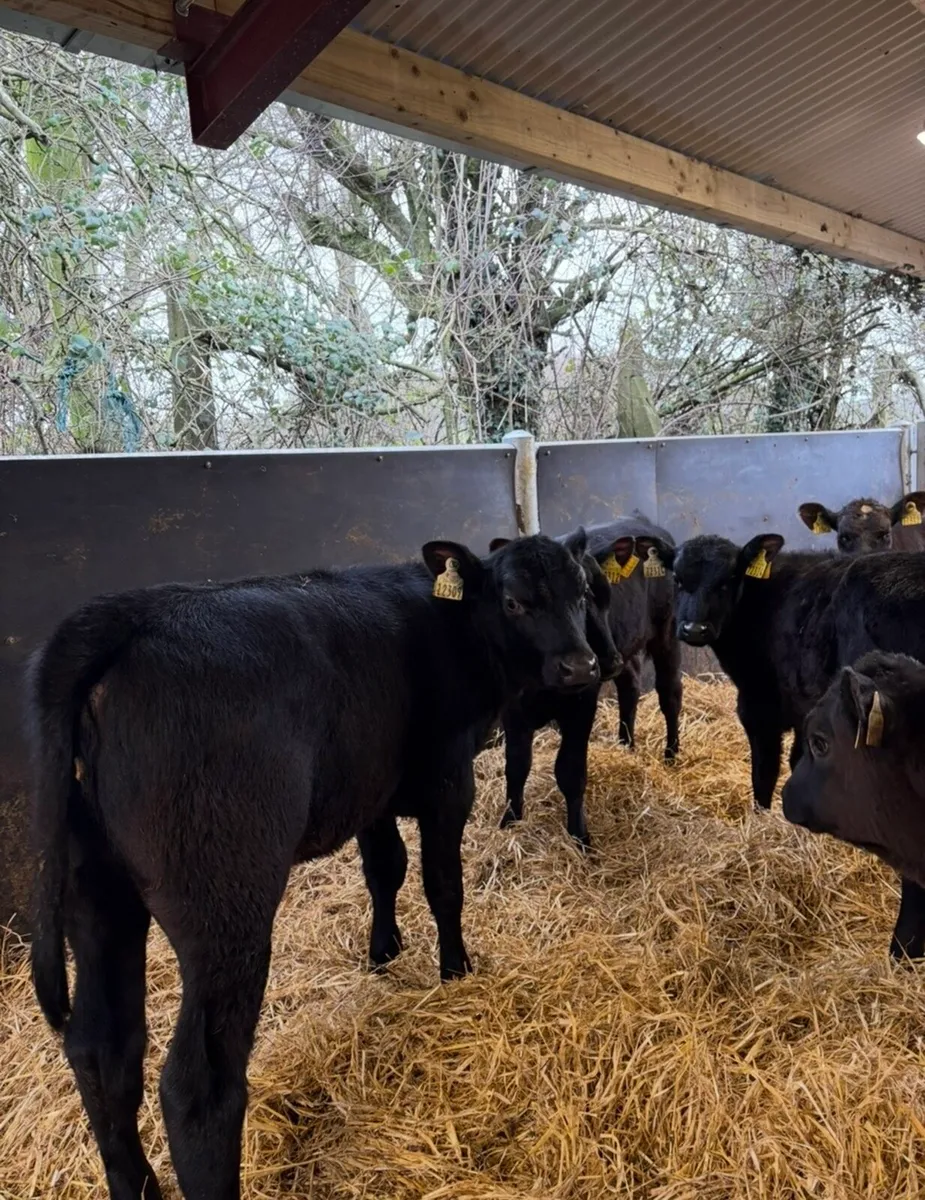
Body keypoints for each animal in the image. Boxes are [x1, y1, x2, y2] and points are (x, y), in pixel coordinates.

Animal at [26, 534, 599, 1200]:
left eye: (582, 592)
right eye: (514, 602)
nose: (581, 666)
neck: (452, 626)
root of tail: (123, 616)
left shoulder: (372, 790)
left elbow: (385, 869)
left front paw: (383, 953)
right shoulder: (447, 780)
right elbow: (442, 885)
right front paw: (455, 969)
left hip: (97, 900)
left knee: (103, 1053)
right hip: (226, 910)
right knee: (198, 1088)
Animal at [496, 518, 682, 847]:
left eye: (599, 596)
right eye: (513, 603)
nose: (603, 661)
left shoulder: (581, 705)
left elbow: (570, 771)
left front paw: (580, 838)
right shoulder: (513, 709)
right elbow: (516, 766)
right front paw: (510, 823)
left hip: (666, 634)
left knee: (670, 695)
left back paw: (671, 754)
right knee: (630, 687)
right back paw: (626, 746)